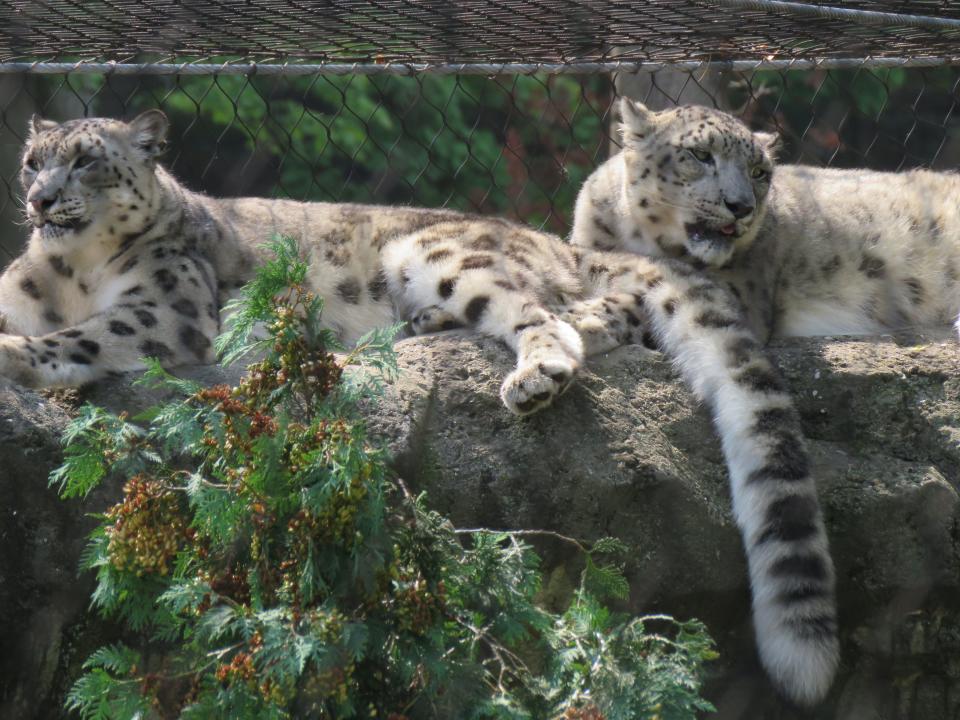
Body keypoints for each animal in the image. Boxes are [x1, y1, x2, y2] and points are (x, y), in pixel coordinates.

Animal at [0, 111, 836, 704]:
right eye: (34, 159)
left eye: (87, 158)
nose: (42, 199)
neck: (69, 272)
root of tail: (555, 242)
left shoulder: (166, 308)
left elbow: (87, 333)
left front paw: (17, 355)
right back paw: (427, 328)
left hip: (441, 255)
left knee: (551, 319)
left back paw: (530, 374)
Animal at [568, 98, 960, 344]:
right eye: (700, 154)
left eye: (758, 171)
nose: (741, 205)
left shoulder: (738, 293)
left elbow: (653, 300)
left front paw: (584, 318)